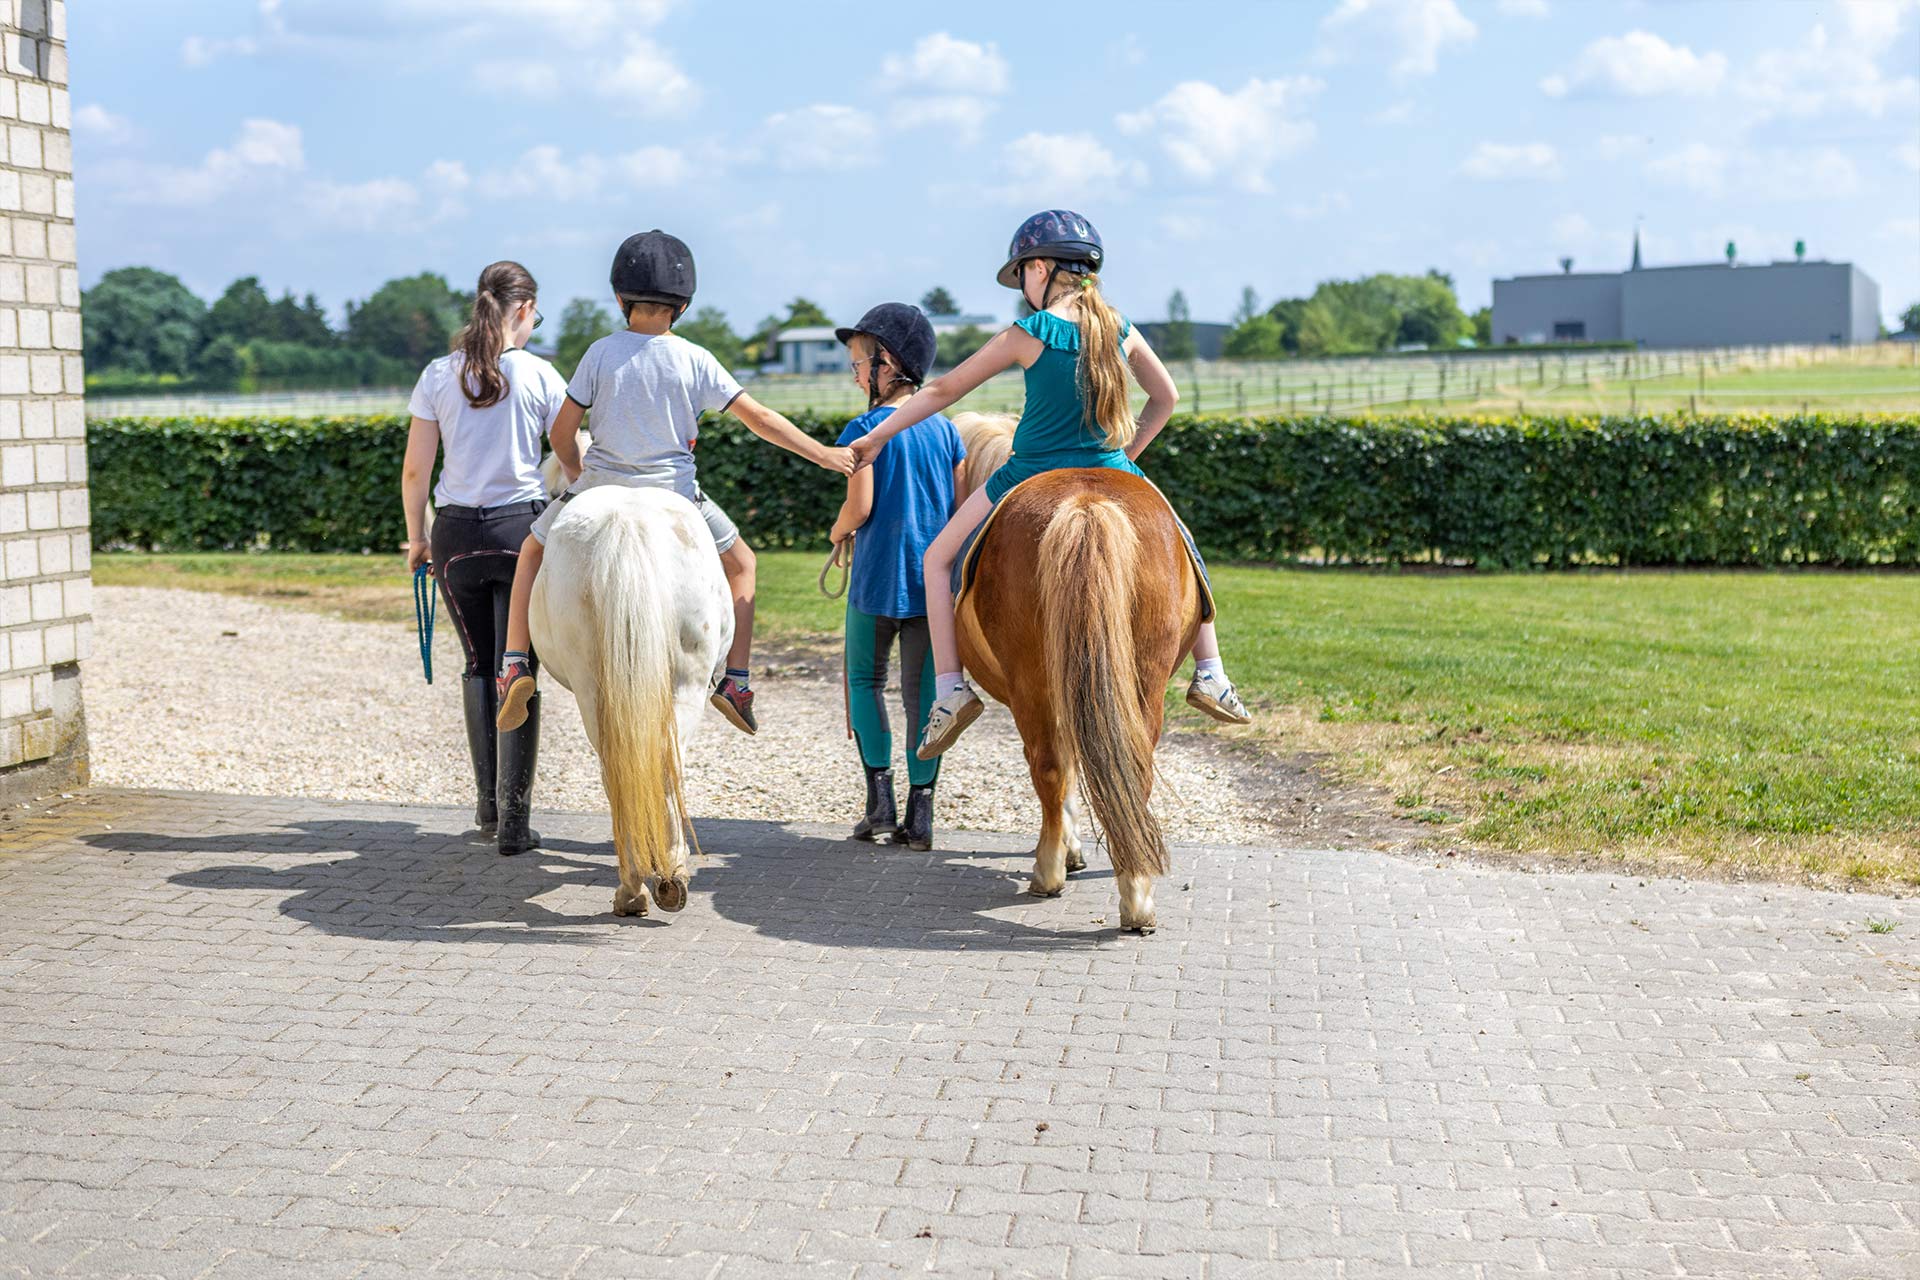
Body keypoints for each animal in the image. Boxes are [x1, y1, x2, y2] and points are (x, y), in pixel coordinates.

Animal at [526, 485, 733, 917]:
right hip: (682, 687)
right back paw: (660, 881)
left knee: (624, 771)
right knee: (661, 769)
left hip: (596, 691)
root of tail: (628, 523)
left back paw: (644, 883)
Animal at [948, 418, 1198, 932]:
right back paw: (1136, 894)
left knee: (1049, 763)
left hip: (1036, 682)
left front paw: (1069, 846)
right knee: (1130, 763)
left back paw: (1049, 872)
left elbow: (1064, 765)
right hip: (1141, 677)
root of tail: (1086, 505)